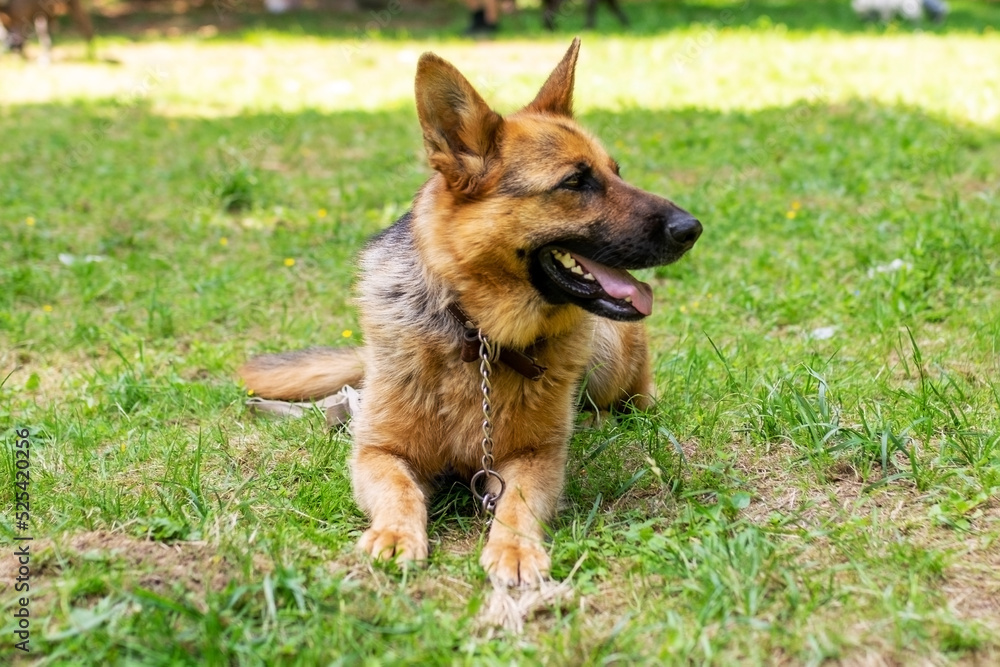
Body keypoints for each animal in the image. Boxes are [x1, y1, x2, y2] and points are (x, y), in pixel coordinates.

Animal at [240, 39, 704, 588]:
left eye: (616, 173)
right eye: (575, 182)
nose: (692, 228)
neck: (475, 336)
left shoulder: (532, 458)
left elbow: (517, 503)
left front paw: (516, 548)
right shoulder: (379, 452)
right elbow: (400, 490)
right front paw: (395, 533)